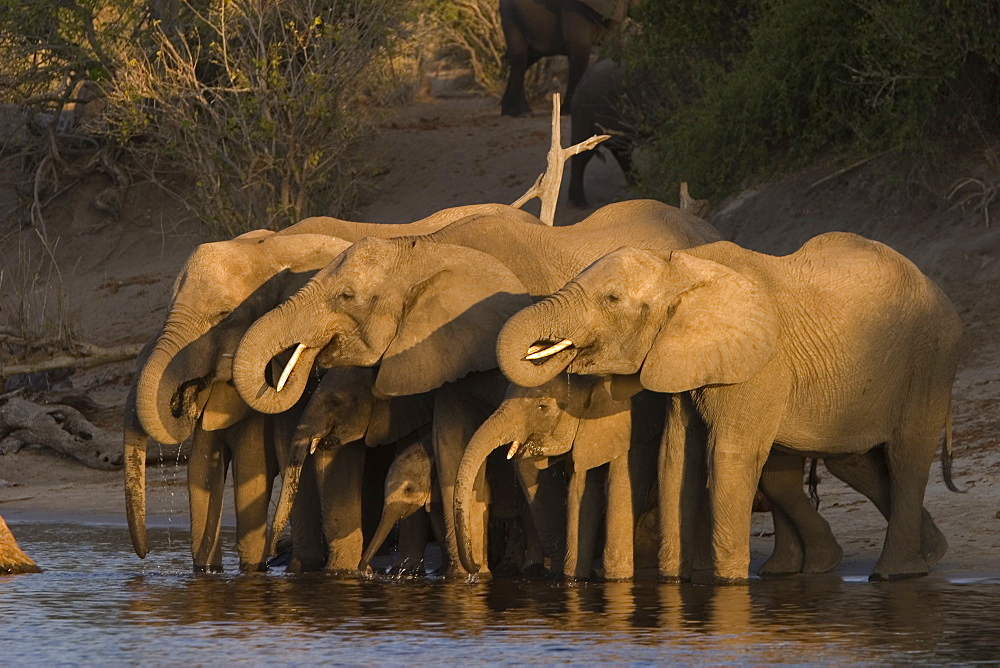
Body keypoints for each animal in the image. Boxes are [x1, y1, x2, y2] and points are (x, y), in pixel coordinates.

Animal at [500, 0, 632, 117]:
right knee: (520, 58)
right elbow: (579, 47)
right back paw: (522, 113)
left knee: (529, 58)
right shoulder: (572, 7)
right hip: (510, 16)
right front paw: (569, 111)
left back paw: (508, 111)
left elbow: (610, 48)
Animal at [500, 232, 960, 580]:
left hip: (931, 356)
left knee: (906, 457)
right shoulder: (683, 358)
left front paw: (729, 586)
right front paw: (675, 582)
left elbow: (728, 456)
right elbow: (675, 459)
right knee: (850, 463)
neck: (684, 267)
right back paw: (923, 555)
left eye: (611, 299)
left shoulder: (759, 363)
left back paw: (894, 573)